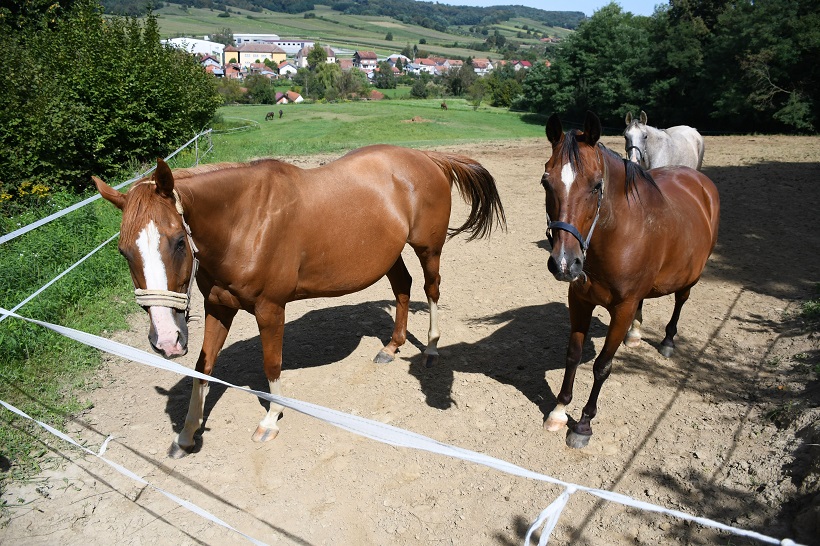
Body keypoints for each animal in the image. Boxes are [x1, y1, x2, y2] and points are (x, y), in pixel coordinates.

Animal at [96, 143, 506, 454]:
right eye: (123, 252)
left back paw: (432, 348)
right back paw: (391, 346)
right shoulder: (219, 307)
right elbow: (203, 367)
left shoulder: (269, 309)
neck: (245, 221)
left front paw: (270, 421)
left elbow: (272, 364)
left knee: (431, 288)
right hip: (389, 254)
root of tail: (428, 157)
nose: (166, 339)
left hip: (428, 248)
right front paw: (186, 433)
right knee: (402, 286)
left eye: (179, 241)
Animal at [540, 110, 716, 446]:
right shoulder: (579, 301)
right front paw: (558, 410)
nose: (564, 264)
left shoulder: (621, 308)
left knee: (680, 301)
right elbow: (573, 355)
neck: (614, 237)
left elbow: (601, 366)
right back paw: (634, 334)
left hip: (690, 278)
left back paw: (668, 341)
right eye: (545, 182)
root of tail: (699, 182)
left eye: (597, 185)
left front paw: (583, 424)